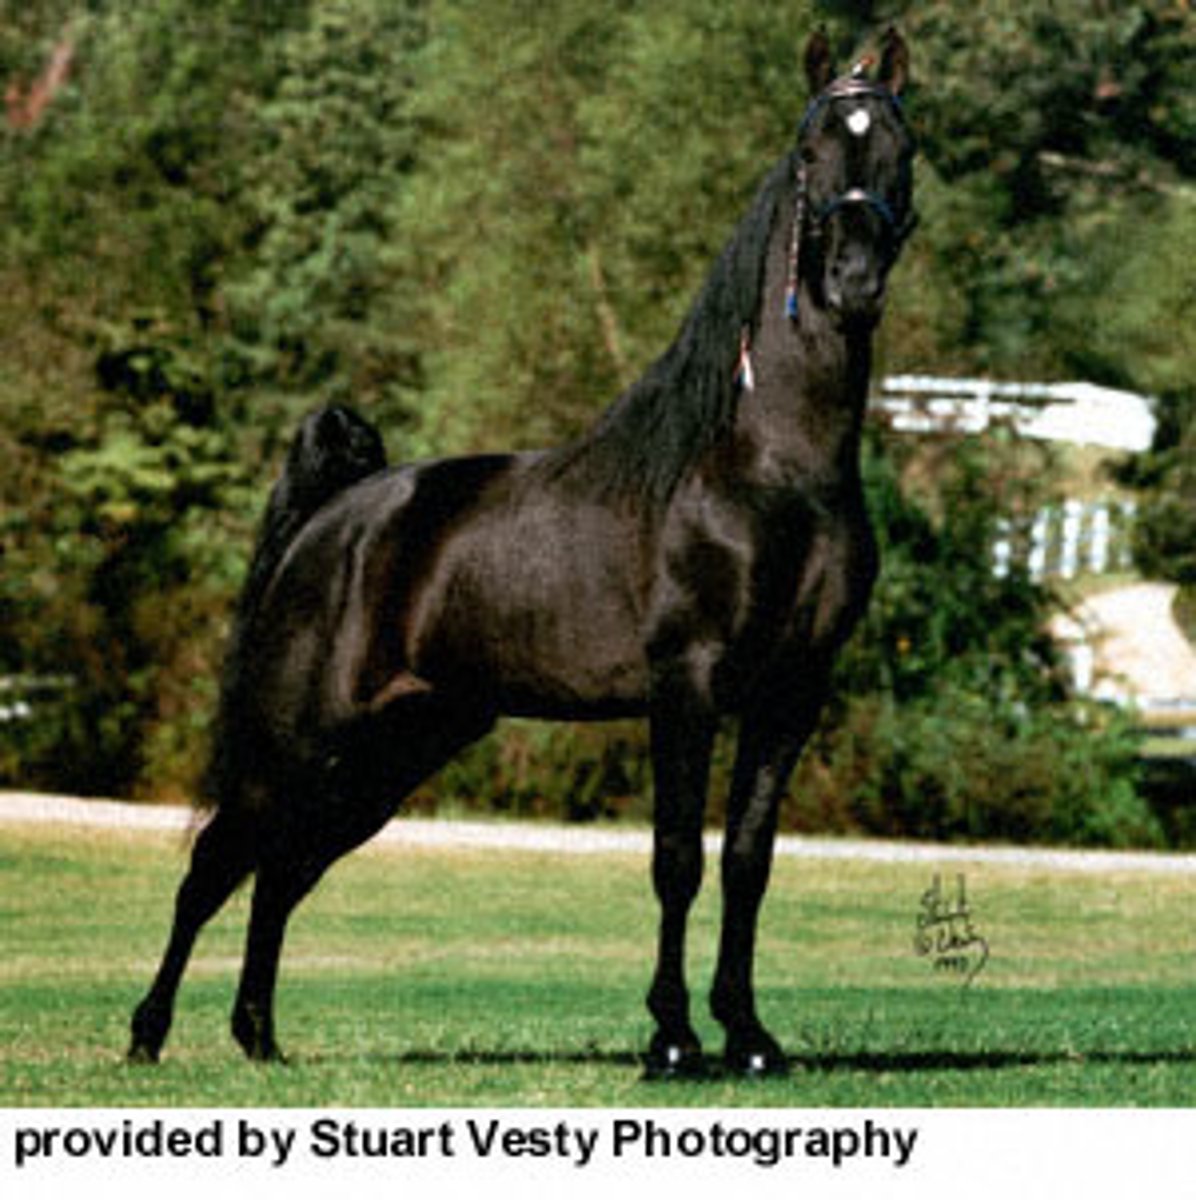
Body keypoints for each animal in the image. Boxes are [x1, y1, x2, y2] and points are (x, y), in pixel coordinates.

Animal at [129, 27, 917, 1078]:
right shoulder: (688, 687)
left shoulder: (792, 692)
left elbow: (747, 863)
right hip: (297, 742)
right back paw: (149, 1034)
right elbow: (678, 858)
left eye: (903, 147)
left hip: (396, 749)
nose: (856, 279)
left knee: (283, 872)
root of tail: (331, 520)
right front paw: (673, 1039)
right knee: (218, 864)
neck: (767, 466)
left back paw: (259, 1037)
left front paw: (749, 1038)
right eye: (809, 151)